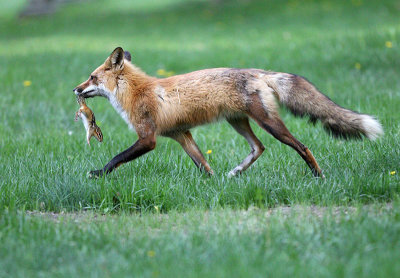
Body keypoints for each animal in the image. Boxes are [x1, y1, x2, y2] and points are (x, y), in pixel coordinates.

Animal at [73, 47, 382, 178]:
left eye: (92, 77)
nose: (75, 89)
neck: (135, 91)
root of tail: (259, 71)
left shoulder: (148, 138)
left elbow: (116, 158)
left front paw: (98, 174)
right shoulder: (181, 134)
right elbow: (203, 165)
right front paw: (213, 185)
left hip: (269, 122)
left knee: (302, 146)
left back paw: (318, 176)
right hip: (239, 122)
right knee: (259, 148)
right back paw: (236, 172)